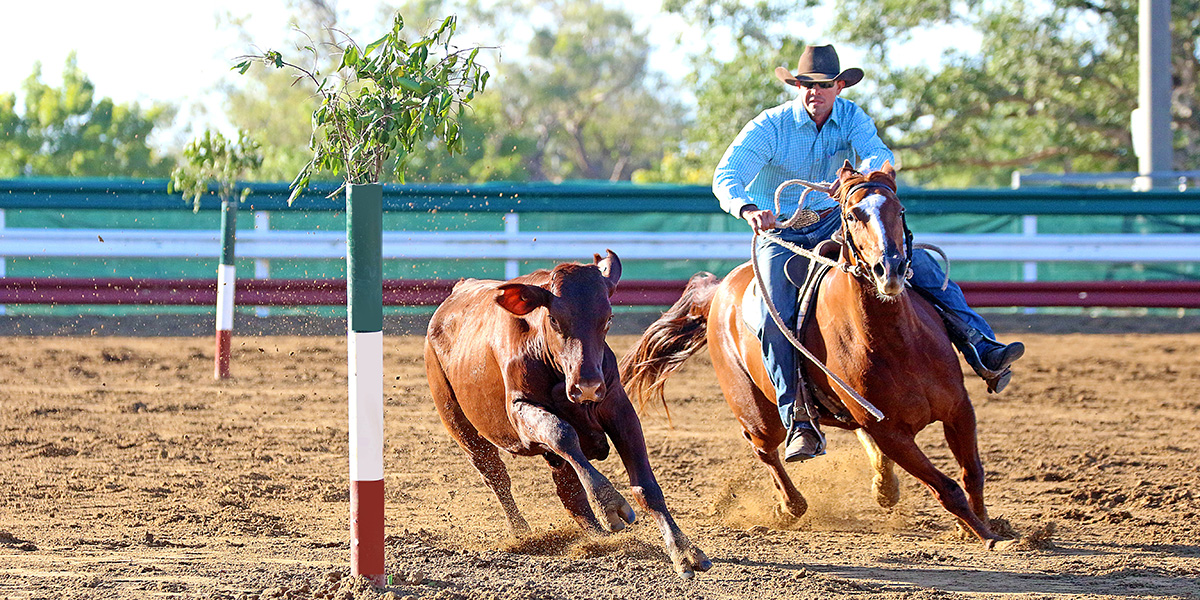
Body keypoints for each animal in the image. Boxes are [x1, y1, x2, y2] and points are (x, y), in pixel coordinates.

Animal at [619, 162, 1003, 547]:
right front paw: (986, 536)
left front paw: (985, 525)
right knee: (764, 448)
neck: (900, 344)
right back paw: (792, 504)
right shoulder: (891, 433)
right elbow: (946, 488)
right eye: (852, 215)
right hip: (757, 414)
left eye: (899, 210)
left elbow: (972, 472)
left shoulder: (959, 409)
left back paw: (885, 485)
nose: (890, 269)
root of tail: (719, 290)